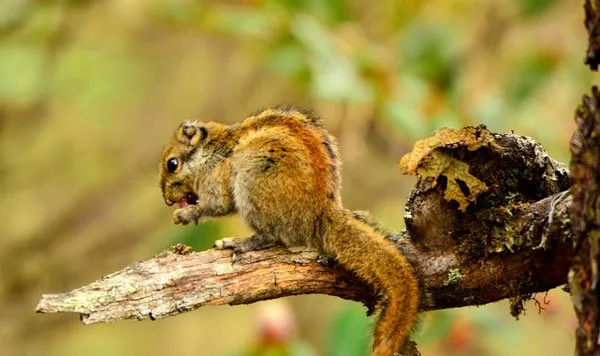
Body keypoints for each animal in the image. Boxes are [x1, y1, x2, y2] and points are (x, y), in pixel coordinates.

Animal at [161, 106, 422, 356]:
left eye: (172, 164)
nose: (167, 200)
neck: (210, 152)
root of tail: (316, 218)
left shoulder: (216, 181)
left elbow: (218, 205)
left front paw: (185, 214)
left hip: (253, 183)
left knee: (268, 237)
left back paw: (240, 243)